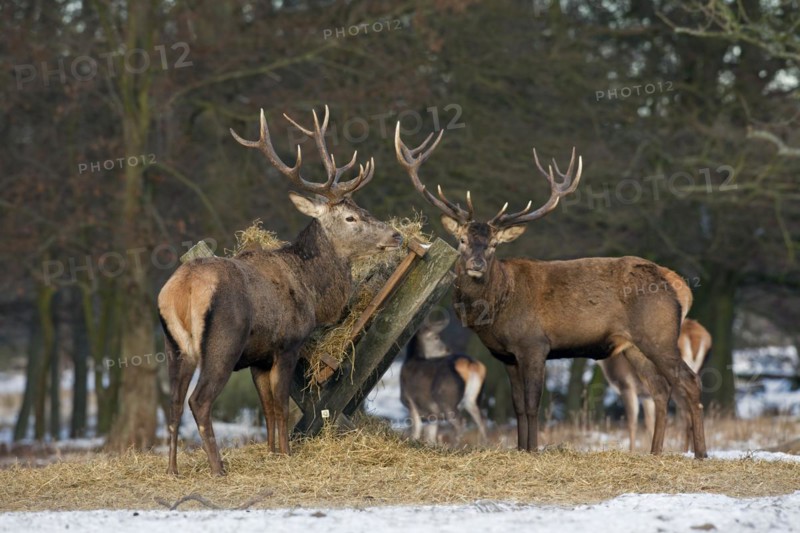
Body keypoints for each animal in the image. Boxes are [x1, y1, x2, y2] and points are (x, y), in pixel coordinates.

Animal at [158, 106, 402, 476]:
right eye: (350, 218)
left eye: (363, 210)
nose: (396, 235)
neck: (311, 289)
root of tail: (182, 289)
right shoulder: (287, 344)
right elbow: (283, 406)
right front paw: (286, 454)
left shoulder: (260, 356)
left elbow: (269, 408)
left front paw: (272, 452)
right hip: (223, 342)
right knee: (198, 401)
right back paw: (218, 467)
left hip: (174, 346)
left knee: (172, 403)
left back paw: (172, 469)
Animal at [400, 313, 488, 445]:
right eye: (436, 337)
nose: (448, 350)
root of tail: (470, 364)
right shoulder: (431, 413)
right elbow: (430, 434)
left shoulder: (409, 400)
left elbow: (416, 427)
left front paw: (413, 440)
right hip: (473, 399)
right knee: (481, 420)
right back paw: (483, 445)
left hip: (446, 398)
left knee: (461, 421)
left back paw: (453, 445)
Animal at [598, 318, 712, 452]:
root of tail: (693, 335)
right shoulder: (646, 395)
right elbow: (650, 422)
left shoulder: (627, 385)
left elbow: (632, 422)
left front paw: (632, 451)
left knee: (687, 414)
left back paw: (686, 450)